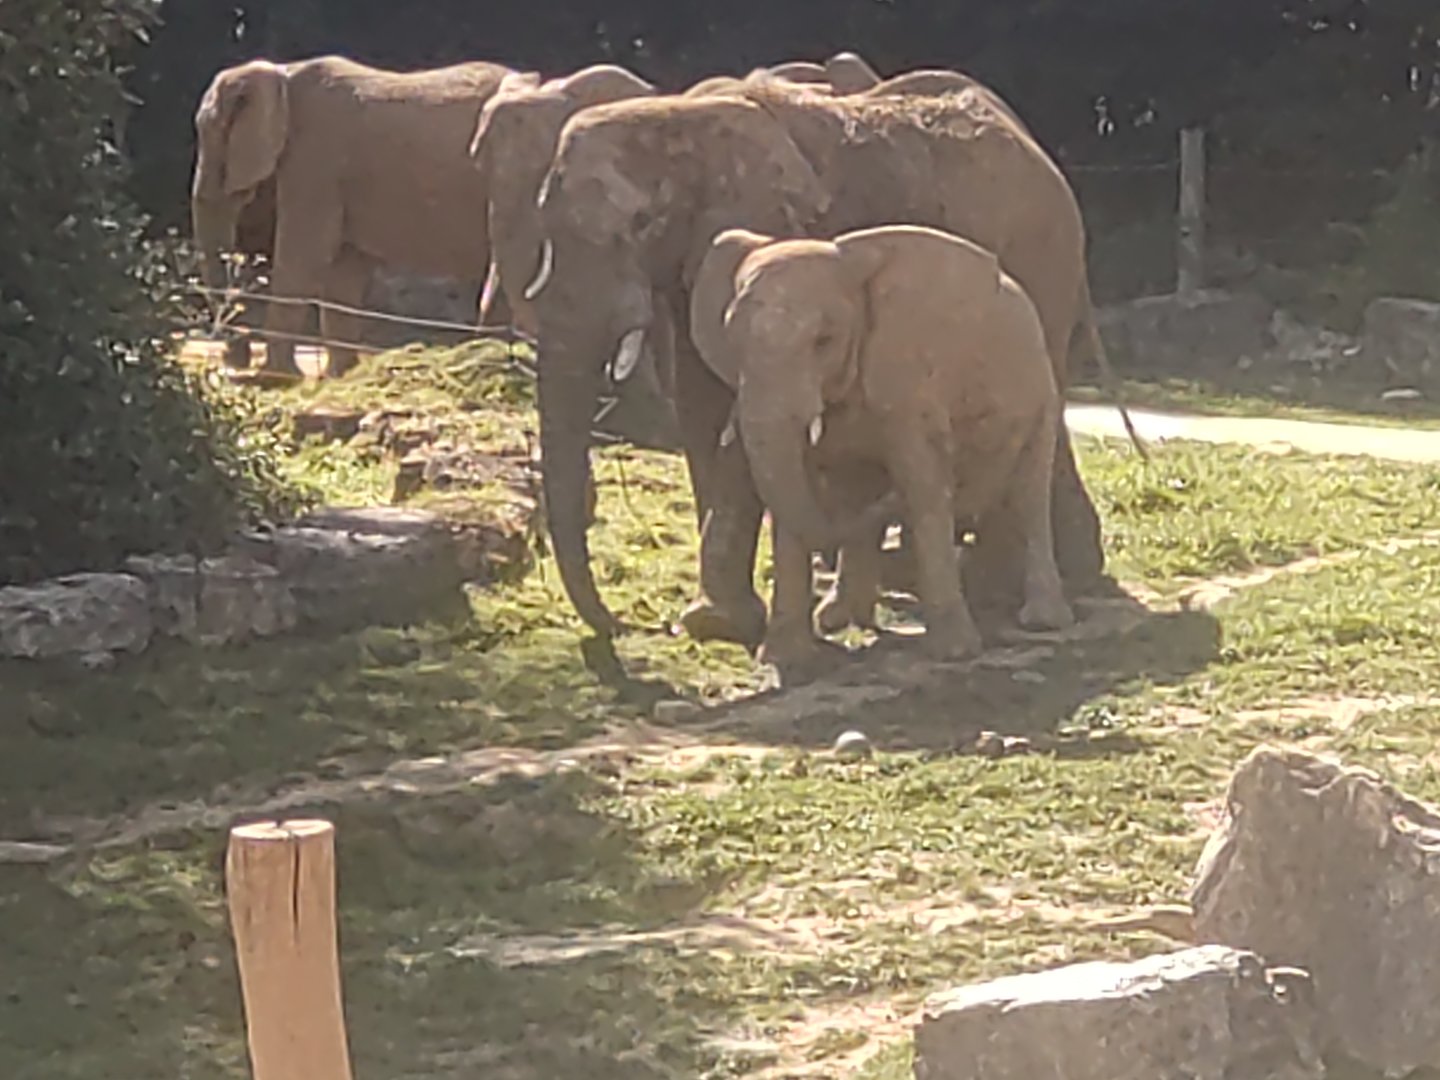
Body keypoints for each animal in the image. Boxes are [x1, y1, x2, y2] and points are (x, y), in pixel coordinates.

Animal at [191, 55, 513, 376]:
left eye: (213, 132)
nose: (238, 359)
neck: (283, 73)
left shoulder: (317, 155)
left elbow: (303, 253)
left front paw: (276, 376)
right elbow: (344, 266)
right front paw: (339, 376)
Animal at [690, 224, 1075, 668]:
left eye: (824, 341)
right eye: (731, 339)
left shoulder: (913, 378)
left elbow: (923, 485)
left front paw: (954, 653)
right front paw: (785, 661)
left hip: (1041, 388)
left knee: (1029, 495)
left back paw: (1043, 620)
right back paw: (839, 618)